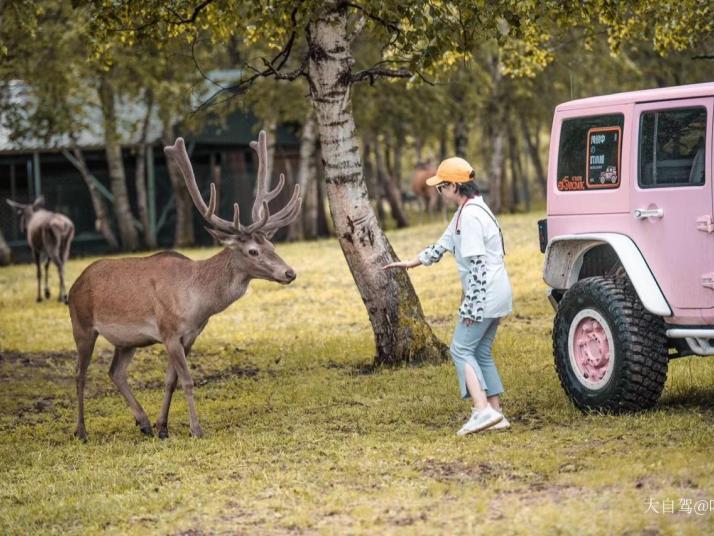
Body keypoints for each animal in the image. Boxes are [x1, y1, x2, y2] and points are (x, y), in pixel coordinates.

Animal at [67, 130, 300, 440]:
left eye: (272, 245)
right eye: (253, 251)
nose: (289, 272)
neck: (198, 303)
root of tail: (74, 285)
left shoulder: (189, 336)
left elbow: (171, 381)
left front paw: (162, 427)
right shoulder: (168, 331)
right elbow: (188, 381)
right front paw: (196, 429)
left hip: (127, 341)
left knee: (115, 372)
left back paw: (142, 423)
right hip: (81, 325)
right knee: (80, 373)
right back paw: (81, 431)